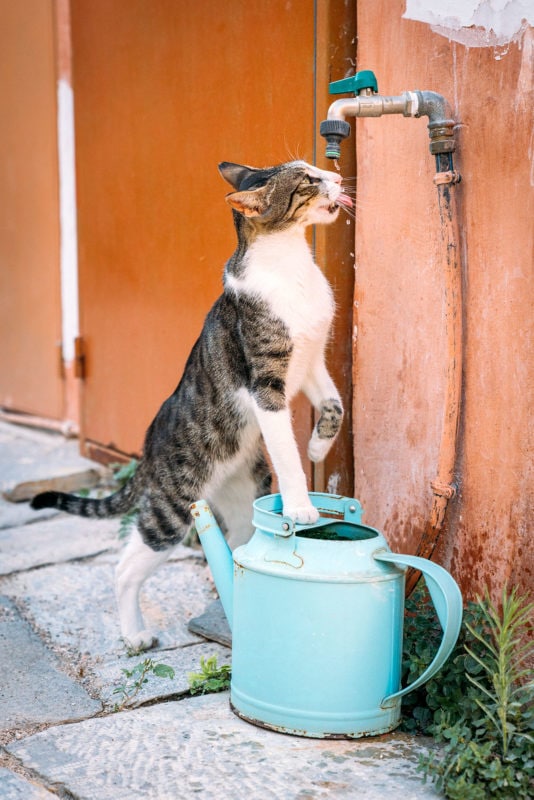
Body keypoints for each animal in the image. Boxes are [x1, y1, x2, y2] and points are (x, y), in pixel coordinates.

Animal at [31, 158, 354, 648]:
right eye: (307, 181)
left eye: (316, 170)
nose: (335, 177)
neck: (292, 265)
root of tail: (146, 450)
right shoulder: (266, 382)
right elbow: (286, 454)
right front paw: (300, 506)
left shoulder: (312, 360)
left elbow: (336, 405)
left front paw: (318, 447)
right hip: (172, 507)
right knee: (127, 565)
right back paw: (134, 635)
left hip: (241, 497)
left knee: (237, 543)